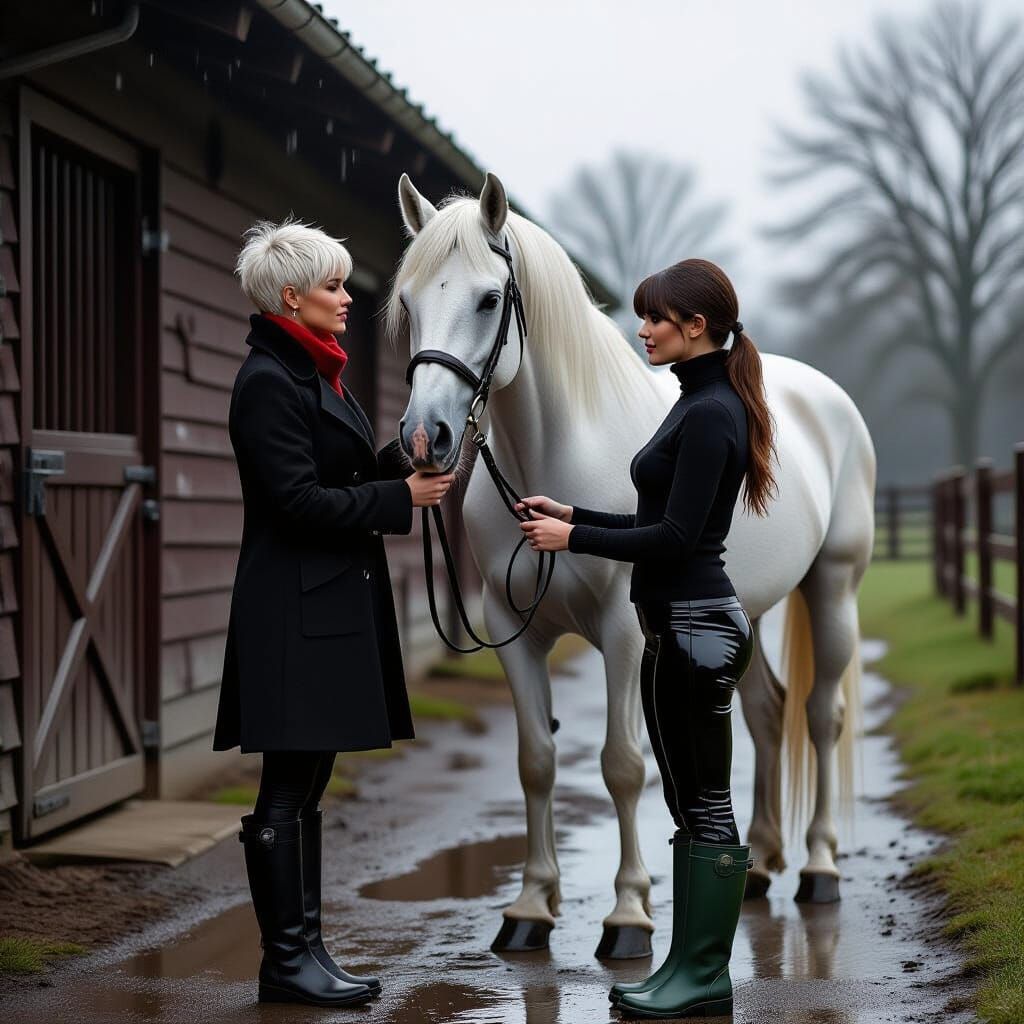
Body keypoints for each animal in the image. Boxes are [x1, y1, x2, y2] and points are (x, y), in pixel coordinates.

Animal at [388, 171, 875, 957]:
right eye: (407, 303)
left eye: (488, 299)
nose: (423, 439)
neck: (556, 449)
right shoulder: (512, 630)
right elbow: (536, 762)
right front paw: (530, 907)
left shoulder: (623, 632)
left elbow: (621, 765)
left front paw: (628, 915)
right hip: (746, 609)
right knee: (767, 715)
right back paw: (762, 864)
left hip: (832, 589)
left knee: (820, 716)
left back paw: (820, 867)